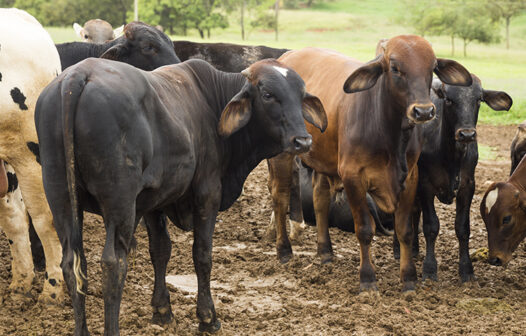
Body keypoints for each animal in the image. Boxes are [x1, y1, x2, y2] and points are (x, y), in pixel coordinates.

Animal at [35, 58, 328, 336]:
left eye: (301, 94)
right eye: (267, 94)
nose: (303, 141)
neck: (212, 102)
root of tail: (78, 75)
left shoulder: (154, 201)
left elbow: (160, 250)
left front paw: (162, 312)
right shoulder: (207, 193)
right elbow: (202, 254)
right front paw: (208, 318)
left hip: (60, 197)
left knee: (72, 263)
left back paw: (81, 329)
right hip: (119, 204)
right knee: (113, 263)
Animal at [268, 34, 474, 292]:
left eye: (432, 67)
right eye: (395, 68)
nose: (424, 111)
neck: (387, 131)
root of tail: (287, 56)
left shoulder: (410, 178)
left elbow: (405, 230)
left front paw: (408, 279)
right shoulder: (353, 177)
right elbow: (365, 230)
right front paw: (367, 279)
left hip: (323, 160)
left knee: (320, 199)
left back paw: (325, 252)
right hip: (282, 155)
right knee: (280, 196)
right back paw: (284, 250)